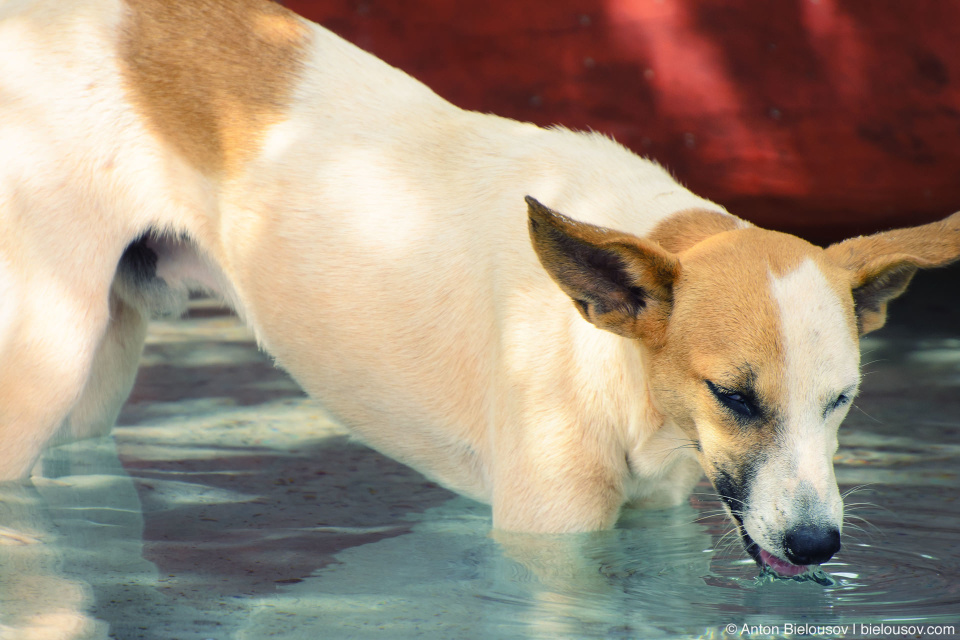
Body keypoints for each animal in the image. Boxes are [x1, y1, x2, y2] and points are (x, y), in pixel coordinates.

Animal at [1, 0, 960, 576]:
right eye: (733, 396)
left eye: (842, 401)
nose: (817, 545)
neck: (603, 353)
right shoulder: (548, 537)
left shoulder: (652, 521)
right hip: (43, 363)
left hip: (100, 373)